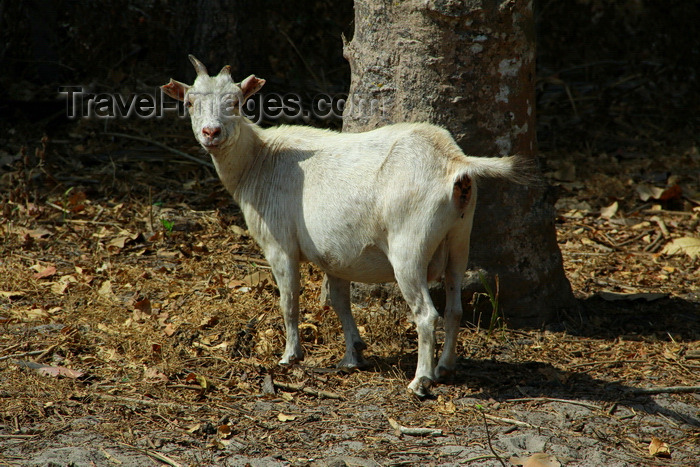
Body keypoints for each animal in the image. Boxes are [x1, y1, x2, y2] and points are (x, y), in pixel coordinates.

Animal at [161, 56, 528, 396]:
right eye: (189, 103)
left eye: (236, 102)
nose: (211, 133)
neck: (259, 161)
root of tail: (454, 161)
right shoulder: (334, 254)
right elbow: (339, 300)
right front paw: (353, 355)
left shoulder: (279, 244)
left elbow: (289, 299)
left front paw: (290, 356)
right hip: (459, 236)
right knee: (454, 307)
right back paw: (445, 367)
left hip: (409, 244)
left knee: (426, 313)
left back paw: (420, 381)